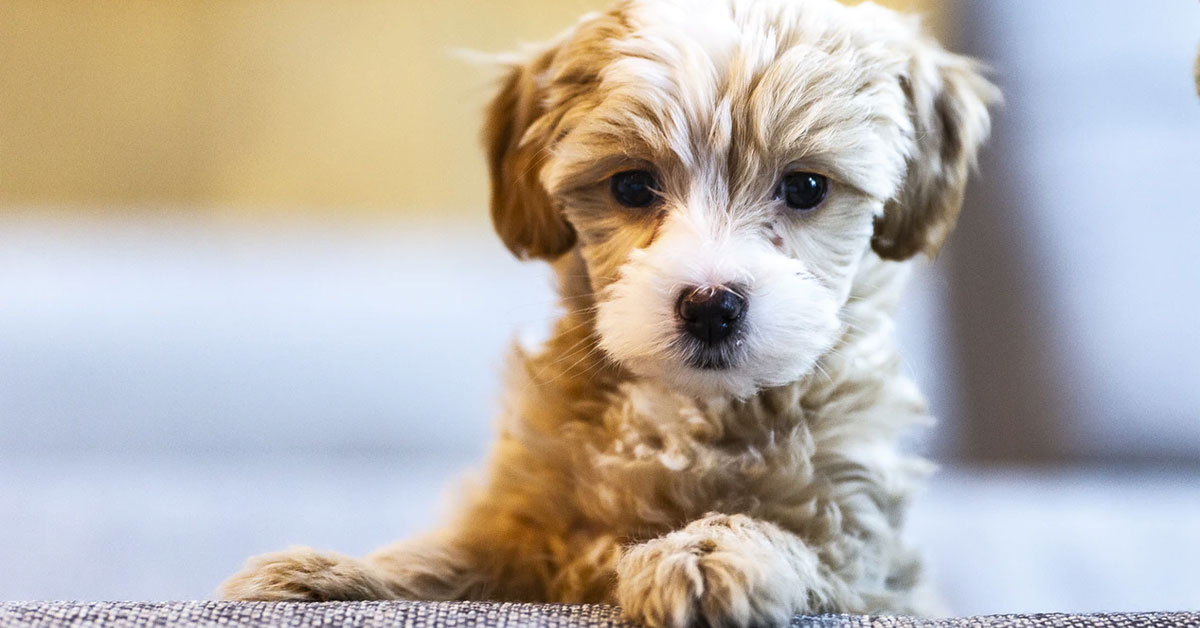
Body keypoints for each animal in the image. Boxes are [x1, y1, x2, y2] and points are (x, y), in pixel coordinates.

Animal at [220, 2, 998, 624]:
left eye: (806, 187)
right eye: (631, 185)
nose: (711, 306)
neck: (688, 413)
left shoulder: (867, 555)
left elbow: (793, 539)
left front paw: (706, 551)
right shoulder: (525, 521)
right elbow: (455, 554)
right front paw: (330, 575)